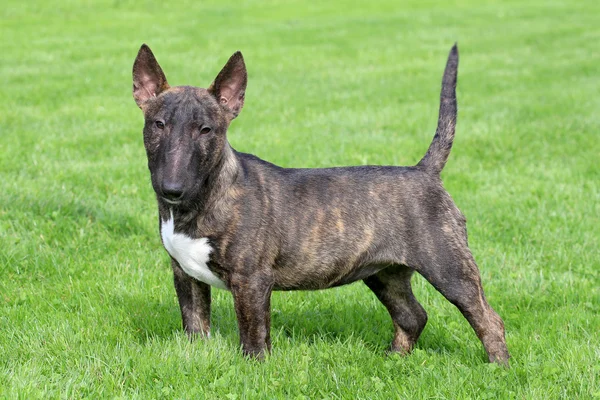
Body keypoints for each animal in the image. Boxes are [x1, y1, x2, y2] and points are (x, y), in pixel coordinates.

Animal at [131, 43, 510, 366]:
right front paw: (195, 359)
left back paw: (498, 370)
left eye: (206, 130)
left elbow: (254, 335)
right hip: (385, 272)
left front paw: (254, 371)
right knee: (412, 315)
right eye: (158, 124)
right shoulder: (185, 274)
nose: (172, 189)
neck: (203, 199)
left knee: (488, 319)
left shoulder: (252, 280)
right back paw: (392, 360)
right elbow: (195, 326)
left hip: (448, 265)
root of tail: (425, 171)